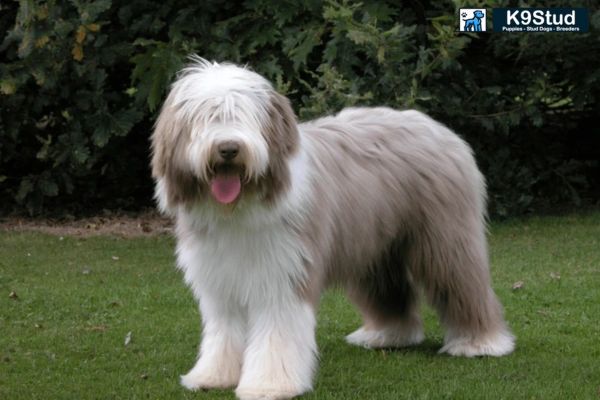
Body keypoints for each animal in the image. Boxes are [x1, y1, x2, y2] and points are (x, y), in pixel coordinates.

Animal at [152, 58, 512, 400]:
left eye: (245, 116)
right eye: (205, 117)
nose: (228, 148)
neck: (240, 209)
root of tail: (436, 127)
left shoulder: (285, 275)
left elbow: (276, 335)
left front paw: (270, 385)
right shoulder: (218, 281)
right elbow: (223, 333)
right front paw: (212, 376)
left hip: (445, 239)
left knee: (462, 282)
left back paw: (481, 342)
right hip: (376, 247)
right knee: (389, 289)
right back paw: (387, 335)